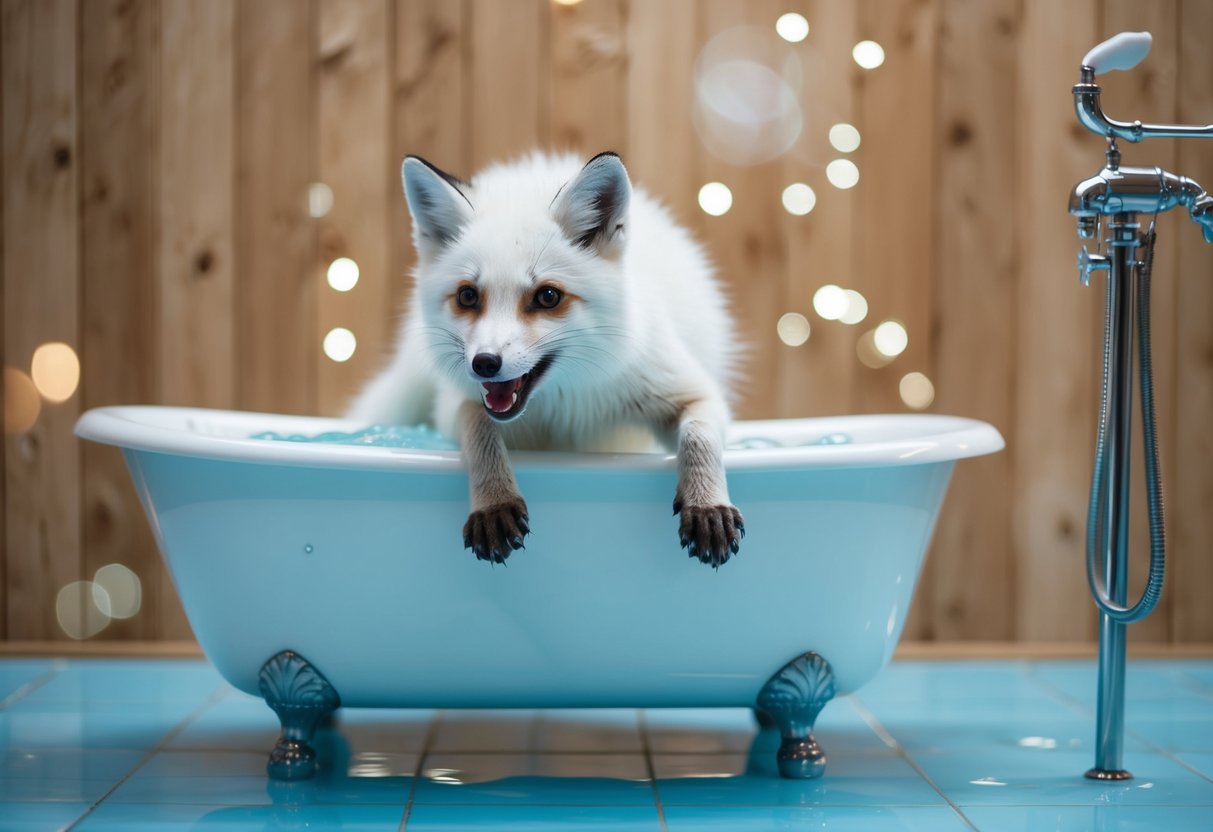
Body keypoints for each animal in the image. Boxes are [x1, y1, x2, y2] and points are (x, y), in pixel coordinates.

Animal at [347, 151, 744, 568]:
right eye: (468, 296)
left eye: (548, 296)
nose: (484, 363)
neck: (558, 404)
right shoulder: (458, 402)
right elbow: (481, 430)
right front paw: (495, 501)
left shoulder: (686, 389)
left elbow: (698, 437)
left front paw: (707, 504)